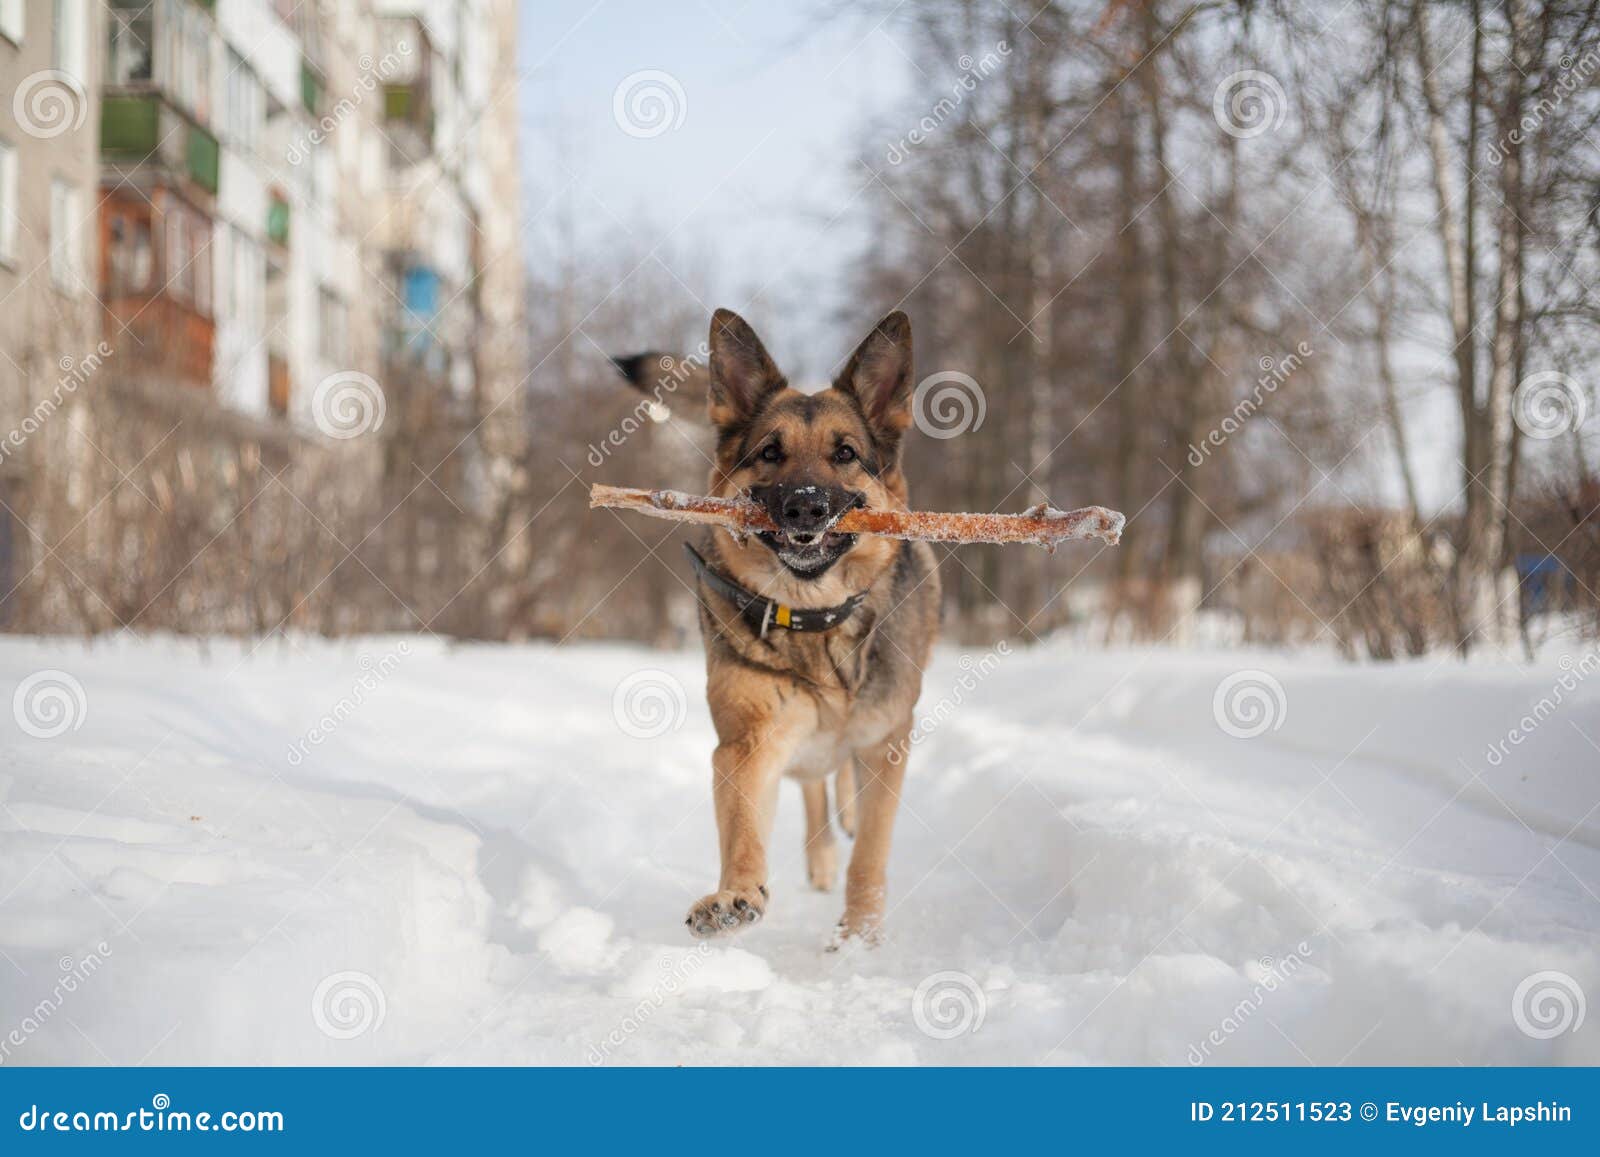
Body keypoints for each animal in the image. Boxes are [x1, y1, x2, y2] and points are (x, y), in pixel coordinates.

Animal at [611, 312, 934, 947]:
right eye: (769, 452)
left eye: (845, 453)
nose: (805, 507)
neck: (815, 621)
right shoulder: (747, 743)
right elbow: (743, 828)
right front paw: (735, 896)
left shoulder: (885, 742)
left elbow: (871, 853)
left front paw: (858, 938)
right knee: (812, 784)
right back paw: (819, 855)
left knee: (840, 786)